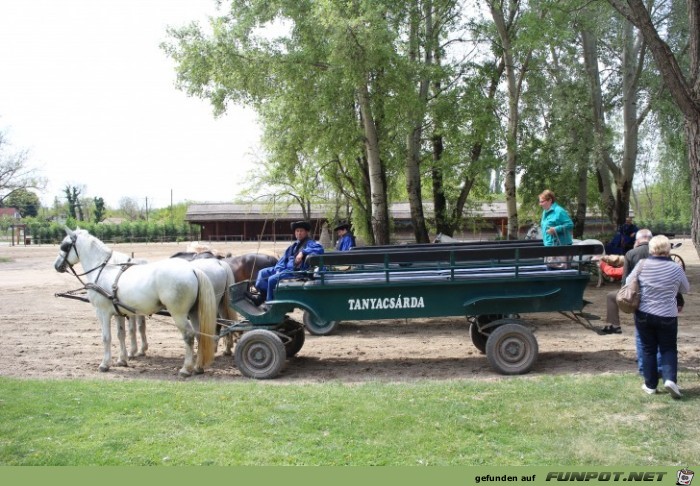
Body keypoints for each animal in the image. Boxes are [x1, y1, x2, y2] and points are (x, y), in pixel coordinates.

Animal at [54, 228, 217, 376]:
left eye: (65, 246)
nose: (56, 265)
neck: (103, 270)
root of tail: (192, 269)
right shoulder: (118, 312)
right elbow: (121, 334)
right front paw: (122, 360)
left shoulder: (103, 312)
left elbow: (106, 337)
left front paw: (105, 364)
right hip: (194, 312)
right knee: (200, 335)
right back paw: (198, 367)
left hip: (179, 314)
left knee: (189, 335)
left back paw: (186, 369)